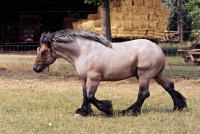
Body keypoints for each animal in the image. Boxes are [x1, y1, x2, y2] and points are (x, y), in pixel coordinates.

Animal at [32, 29, 187, 116]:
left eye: (43, 51)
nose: (35, 68)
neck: (83, 51)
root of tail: (158, 47)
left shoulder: (94, 78)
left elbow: (90, 96)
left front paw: (108, 109)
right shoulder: (84, 79)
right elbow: (85, 95)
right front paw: (84, 111)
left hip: (145, 75)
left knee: (143, 93)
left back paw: (129, 111)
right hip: (157, 74)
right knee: (169, 86)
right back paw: (179, 106)